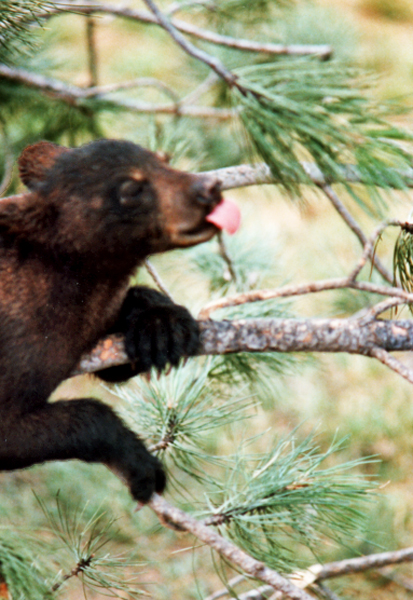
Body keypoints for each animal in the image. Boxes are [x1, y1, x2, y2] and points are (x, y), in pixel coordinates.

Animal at [0, 139, 238, 502]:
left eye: (165, 160)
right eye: (130, 188)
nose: (209, 187)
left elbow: (115, 361)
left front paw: (162, 328)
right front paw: (143, 467)